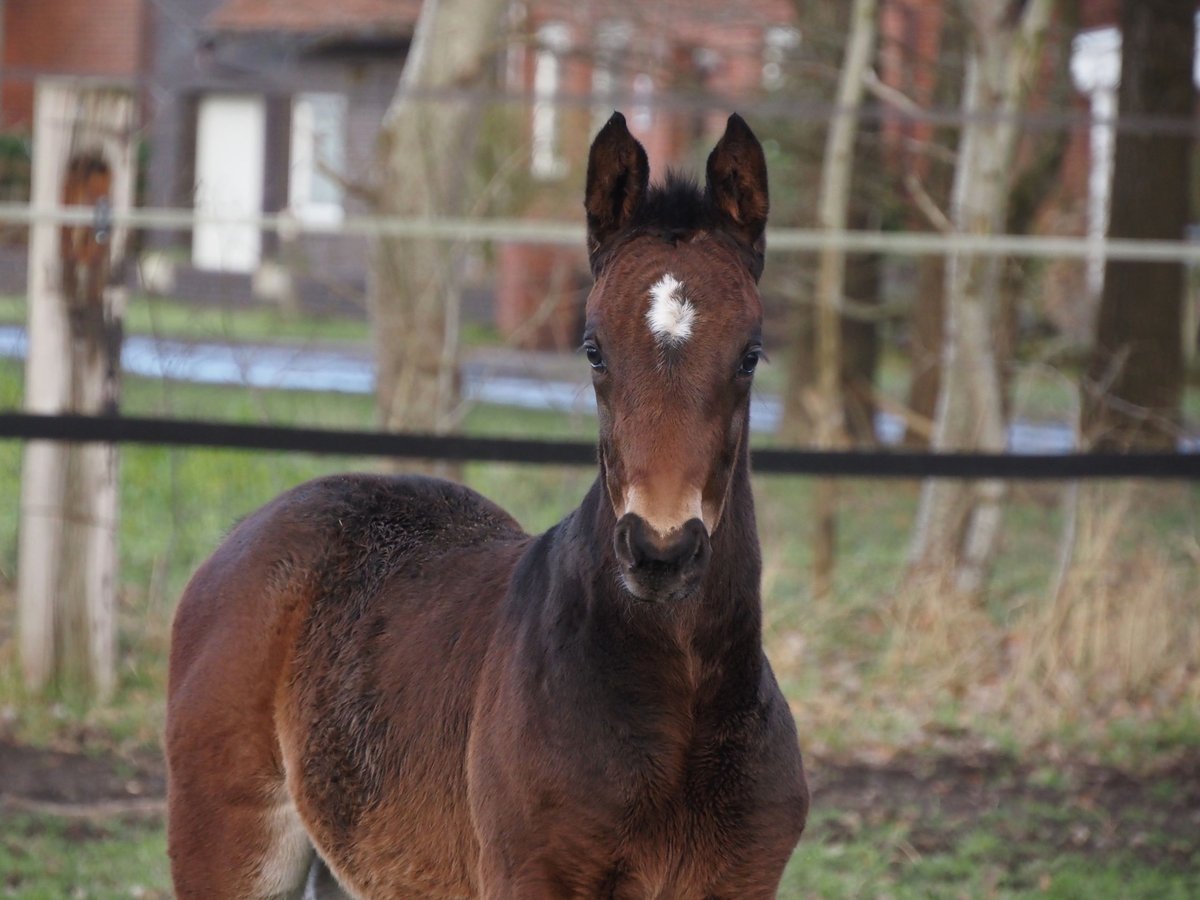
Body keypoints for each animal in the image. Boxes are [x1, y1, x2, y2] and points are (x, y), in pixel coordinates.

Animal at [166, 114, 806, 900]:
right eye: (593, 350)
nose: (661, 550)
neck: (677, 701)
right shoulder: (530, 875)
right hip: (231, 849)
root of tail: (244, 536)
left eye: (750, 354)